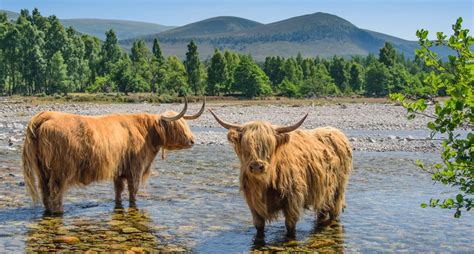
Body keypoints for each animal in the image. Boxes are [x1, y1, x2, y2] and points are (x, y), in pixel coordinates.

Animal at [22, 98, 204, 213]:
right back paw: (59, 212)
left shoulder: (119, 171)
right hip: (61, 171)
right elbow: (133, 192)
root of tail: (45, 116)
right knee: (55, 193)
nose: (192, 140)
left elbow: (118, 191)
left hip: (41, 170)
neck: (145, 132)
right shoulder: (135, 169)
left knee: (45, 192)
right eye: (177, 126)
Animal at [211, 110, 352, 237]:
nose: (257, 166)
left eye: (269, 146)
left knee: (334, 212)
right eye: (247, 146)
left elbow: (290, 227)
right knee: (322, 211)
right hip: (323, 192)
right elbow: (259, 227)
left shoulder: (292, 200)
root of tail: (336, 131)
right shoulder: (253, 204)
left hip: (338, 190)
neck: (265, 183)